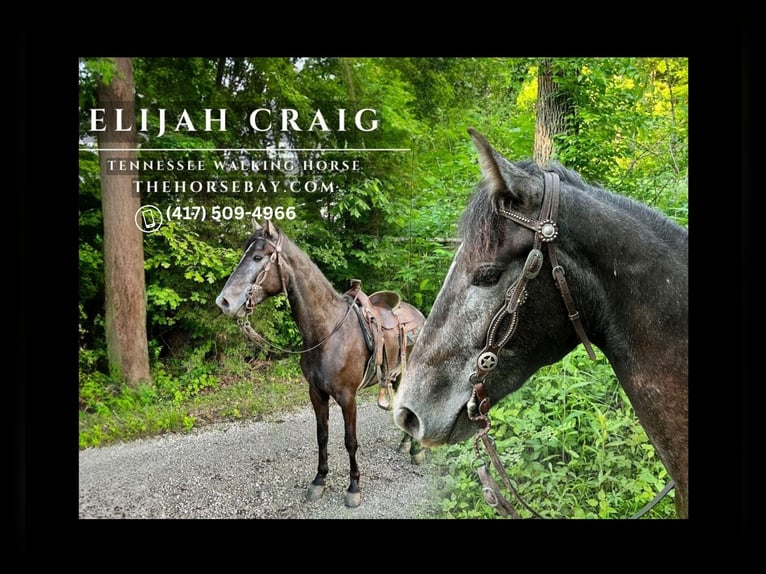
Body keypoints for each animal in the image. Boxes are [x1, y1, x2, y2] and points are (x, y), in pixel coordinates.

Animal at [215, 219, 426, 508]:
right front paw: (319, 481)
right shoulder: (316, 393)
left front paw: (353, 487)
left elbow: (350, 441)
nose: (224, 301)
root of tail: (418, 315)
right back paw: (406, 445)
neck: (327, 331)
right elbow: (322, 436)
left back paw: (415, 450)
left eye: (258, 257)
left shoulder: (348, 397)